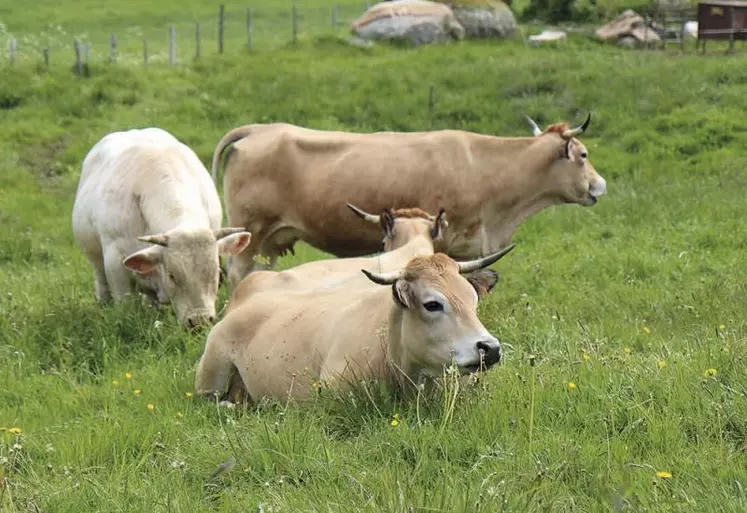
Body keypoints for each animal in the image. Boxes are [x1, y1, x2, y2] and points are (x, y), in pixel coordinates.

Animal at [73, 128, 254, 328]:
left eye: (216, 272)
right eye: (172, 275)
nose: (199, 321)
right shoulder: (115, 261)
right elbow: (124, 303)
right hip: (96, 259)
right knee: (101, 282)